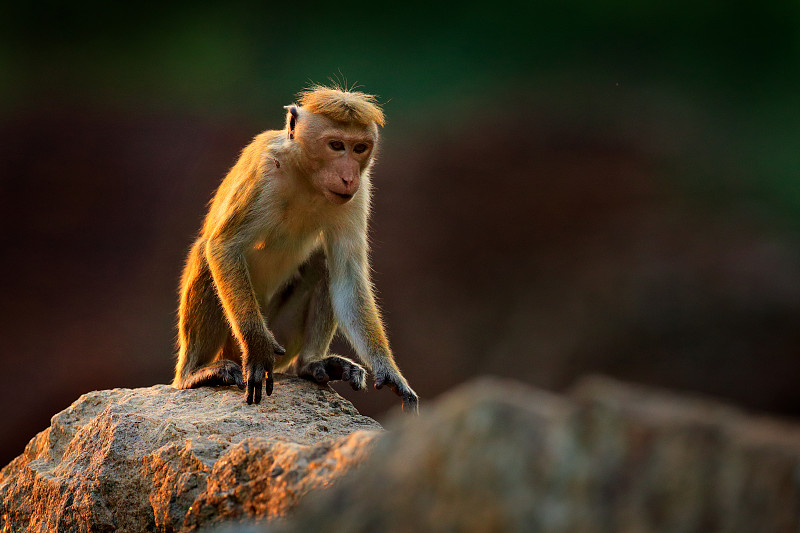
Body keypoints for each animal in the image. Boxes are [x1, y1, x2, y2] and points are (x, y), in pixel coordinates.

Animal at [170, 85, 418, 414]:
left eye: (359, 148)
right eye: (336, 145)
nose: (349, 176)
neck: (307, 178)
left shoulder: (359, 192)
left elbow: (347, 279)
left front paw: (388, 370)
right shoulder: (263, 169)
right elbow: (224, 247)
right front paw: (258, 346)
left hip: (283, 337)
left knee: (322, 262)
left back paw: (311, 364)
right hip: (236, 342)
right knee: (204, 252)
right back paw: (194, 373)